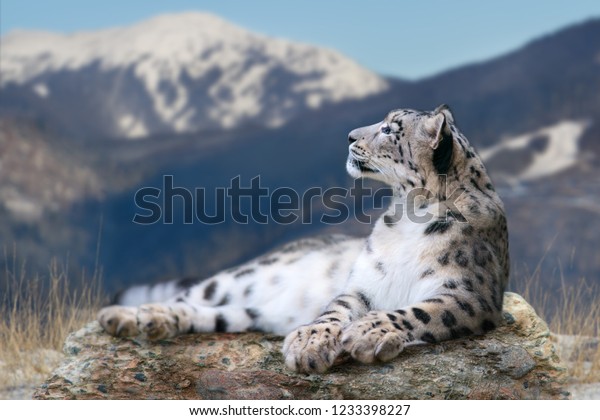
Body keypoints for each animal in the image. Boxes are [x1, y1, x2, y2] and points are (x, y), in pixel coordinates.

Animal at [99, 105, 510, 374]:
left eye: (390, 129)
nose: (350, 136)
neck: (410, 213)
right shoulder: (362, 283)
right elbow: (336, 309)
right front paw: (310, 342)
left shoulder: (469, 293)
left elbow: (418, 311)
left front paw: (366, 333)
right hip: (238, 278)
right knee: (187, 297)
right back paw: (129, 316)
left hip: (245, 313)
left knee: (210, 313)